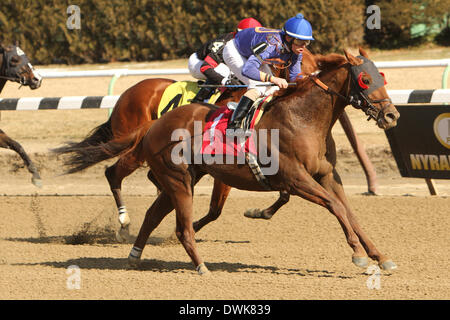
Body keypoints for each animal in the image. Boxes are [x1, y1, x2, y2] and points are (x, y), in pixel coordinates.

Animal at [89, 47, 400, 272]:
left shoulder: (325, 175)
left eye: (383, 77)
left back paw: (134, 255)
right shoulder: (295, 178)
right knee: (119, 178)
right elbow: (334, 206)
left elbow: (348, 211)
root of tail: (155, 123)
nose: (391, 115)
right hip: (176, 179)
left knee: (153, 213)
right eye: (365, 79)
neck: (303, 118)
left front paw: (380, 255)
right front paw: (358, 254)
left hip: (181, 179)